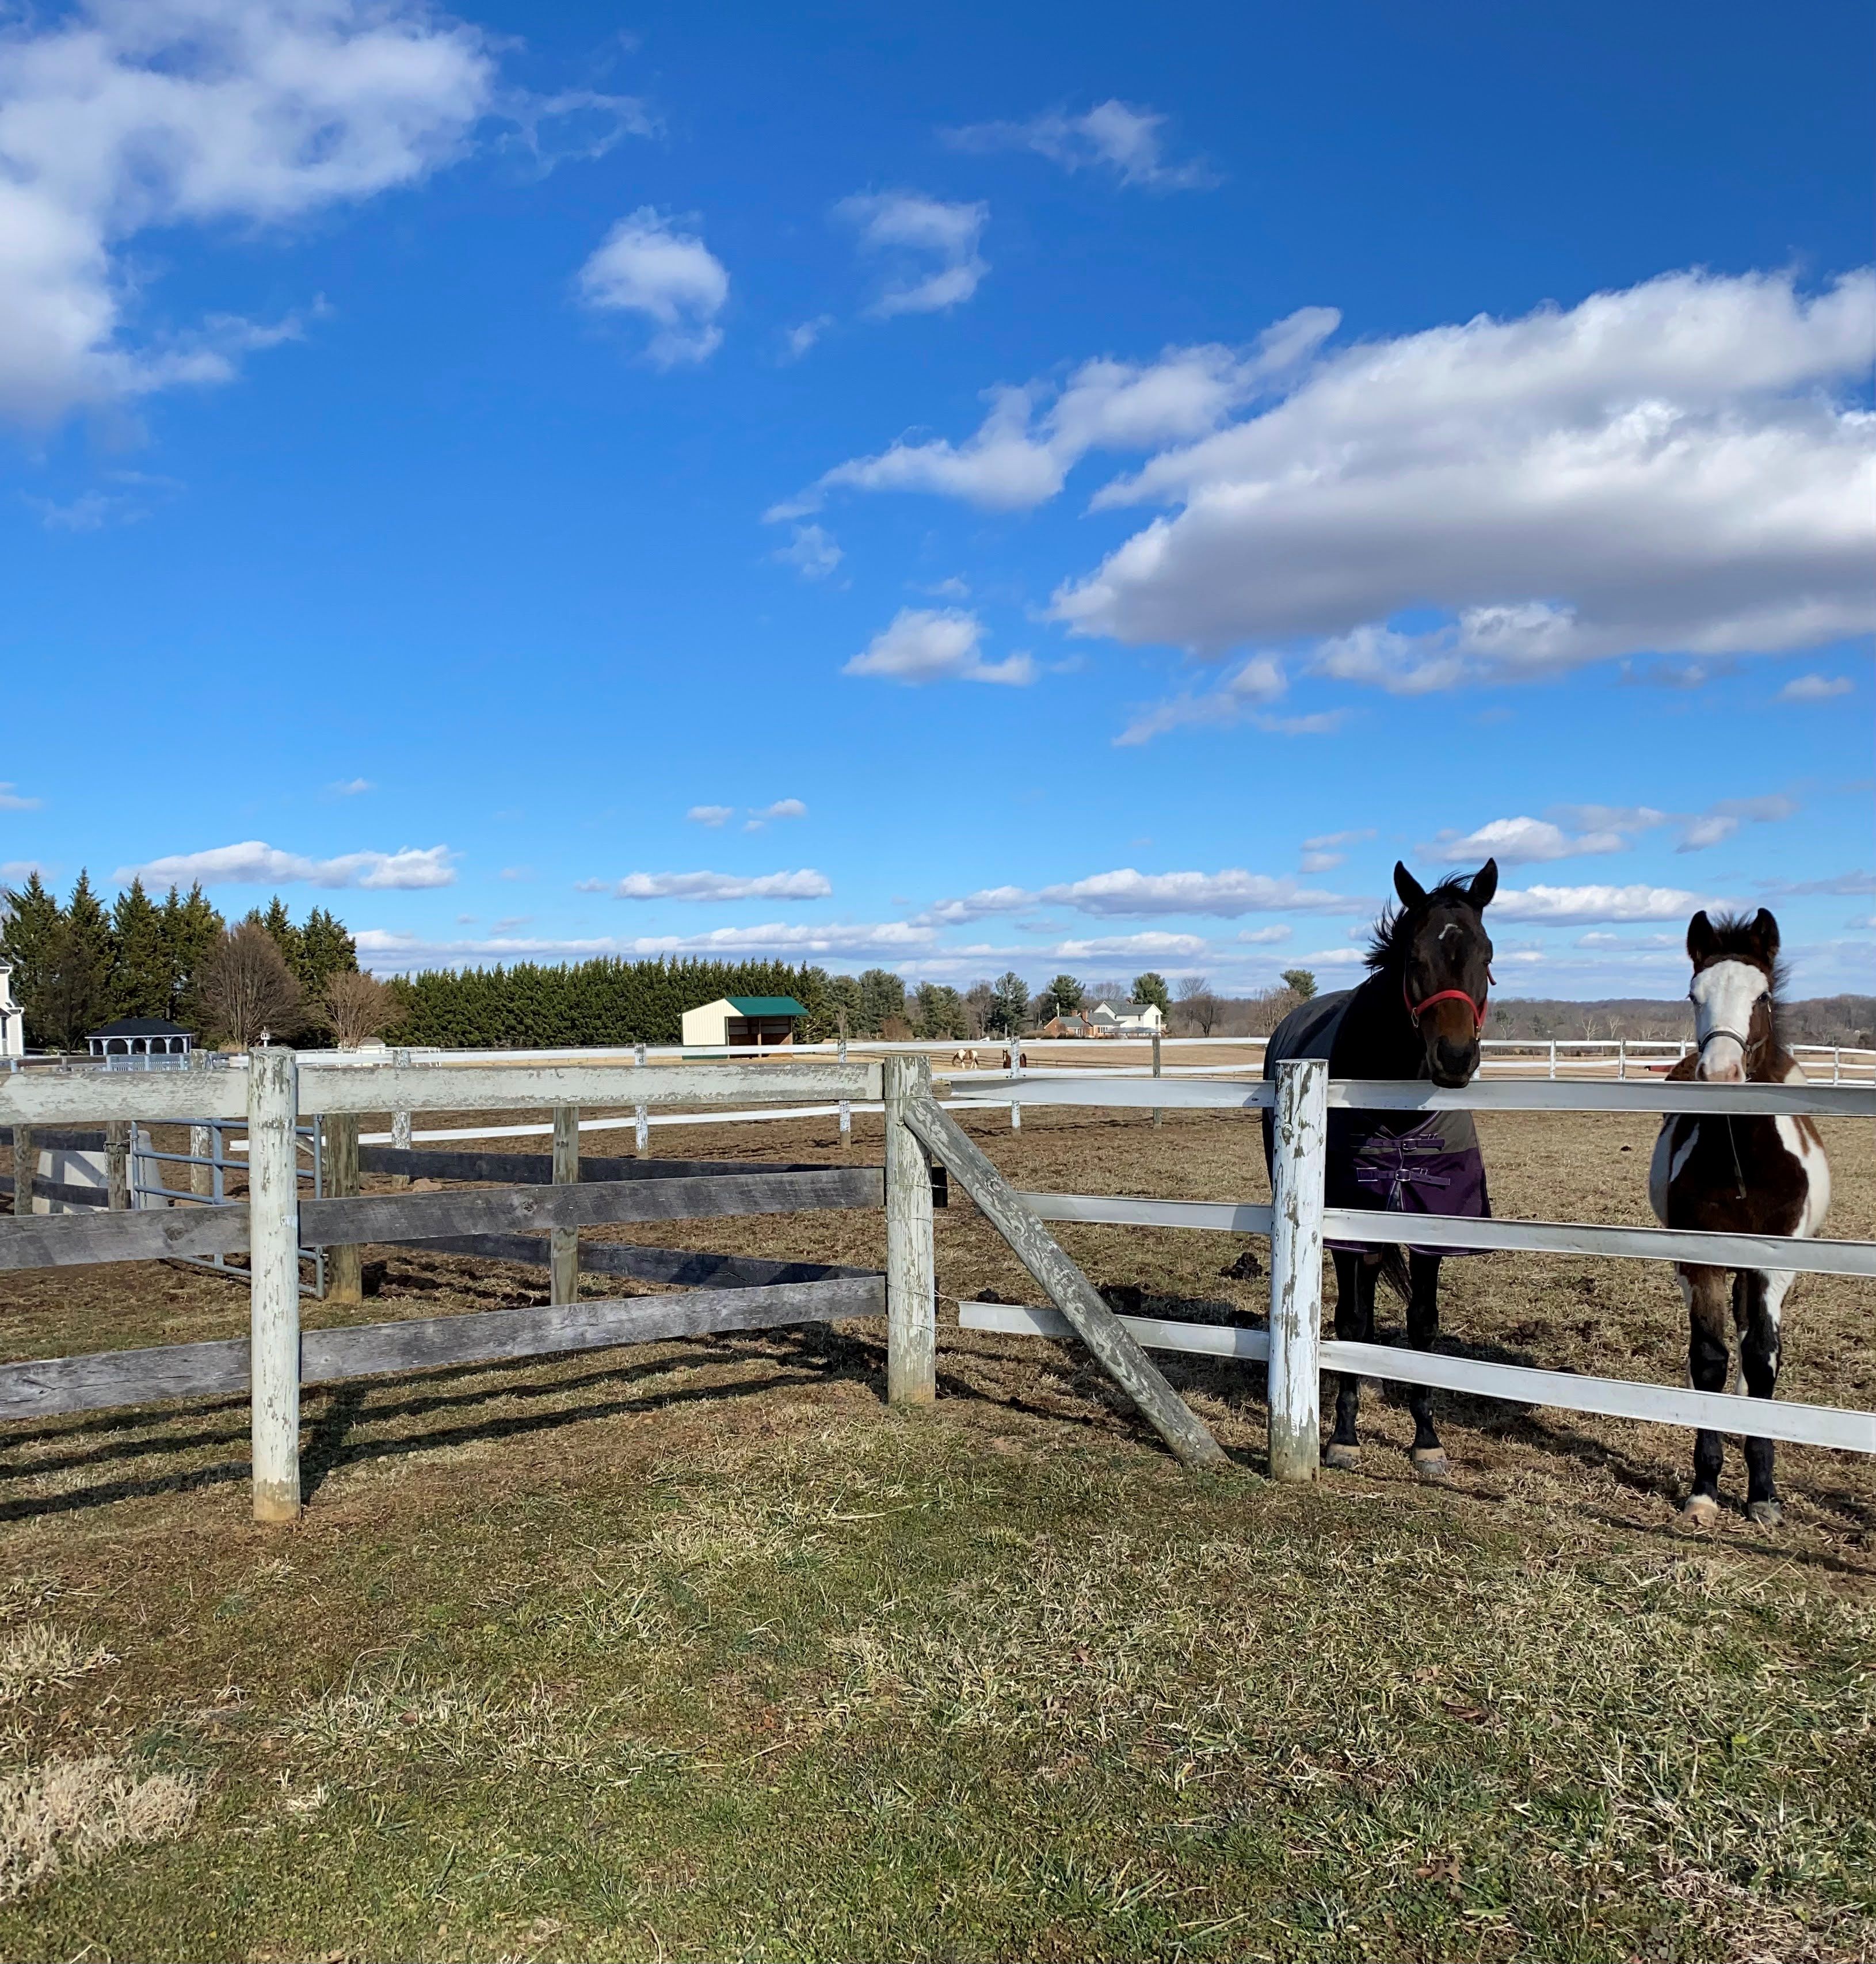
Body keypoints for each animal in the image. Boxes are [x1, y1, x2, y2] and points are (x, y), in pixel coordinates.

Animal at [1262, 860, 1498, 1478]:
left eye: (1487, 953)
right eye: (1415, 957)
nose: (1456, 1057)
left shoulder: (1433, 1226)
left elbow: (1423, 1322)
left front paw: (1427, 1438)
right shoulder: (1350, 1223)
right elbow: (1351, 1320)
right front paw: (1343, 1435)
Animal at [1649, 908, 1831, 1528]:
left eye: (1762, 996)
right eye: (1692, 993)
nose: (1720, 1074)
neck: (1741, 1161)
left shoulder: (1772, 1264)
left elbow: (1761, 1358)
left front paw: (1762, 1493)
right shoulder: (1699, 1259)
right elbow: (1708, 1357)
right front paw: (1704, 1487)